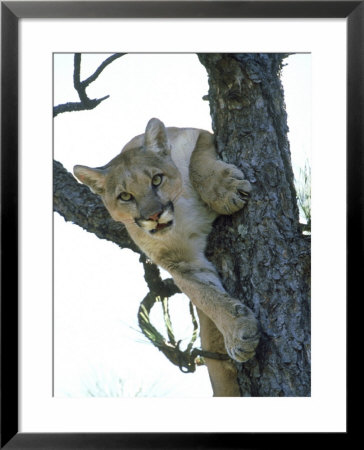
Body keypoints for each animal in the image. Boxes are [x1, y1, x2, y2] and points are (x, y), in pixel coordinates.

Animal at [74, 118, 258, 396]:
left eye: (157, 179)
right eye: (125, 196)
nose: (154, 215)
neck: (179, 211)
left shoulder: (199, 134)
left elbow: (196, 162)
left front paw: (226, 193)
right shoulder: (180, 262)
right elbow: (206, 296)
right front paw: (239, 332)